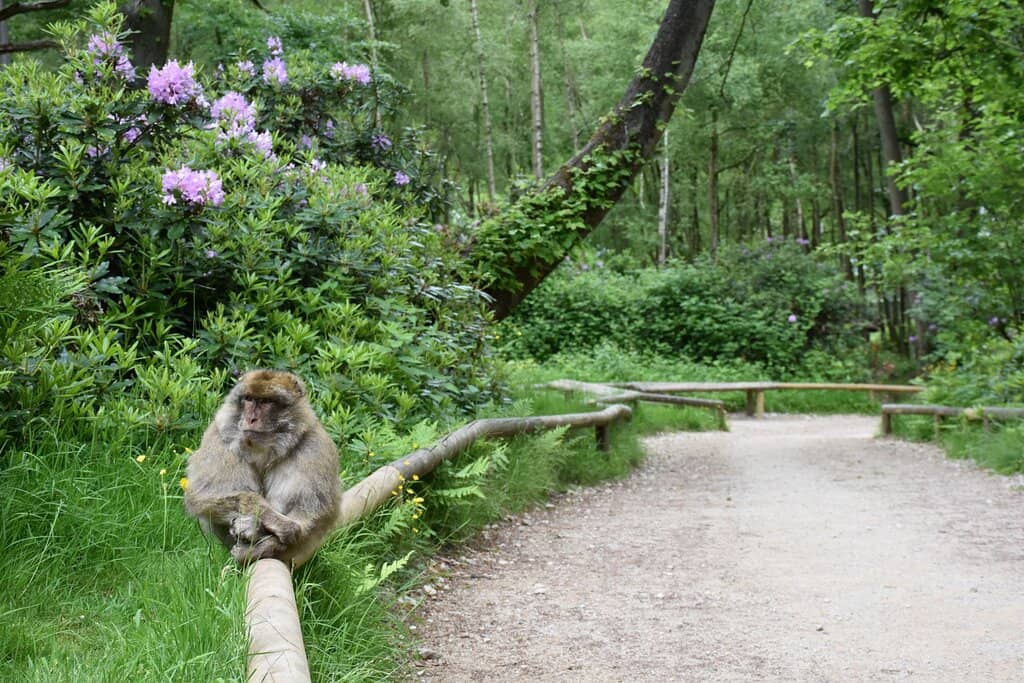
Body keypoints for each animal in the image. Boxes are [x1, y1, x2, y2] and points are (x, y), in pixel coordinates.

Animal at [183, 369, 343, 567]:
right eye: (249, 399)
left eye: (267, 401)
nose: (250, 418)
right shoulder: (220, 439)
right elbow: (204, 495)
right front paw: (274, 526)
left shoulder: (314, 446)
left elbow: (312, 512)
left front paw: (268, 539)